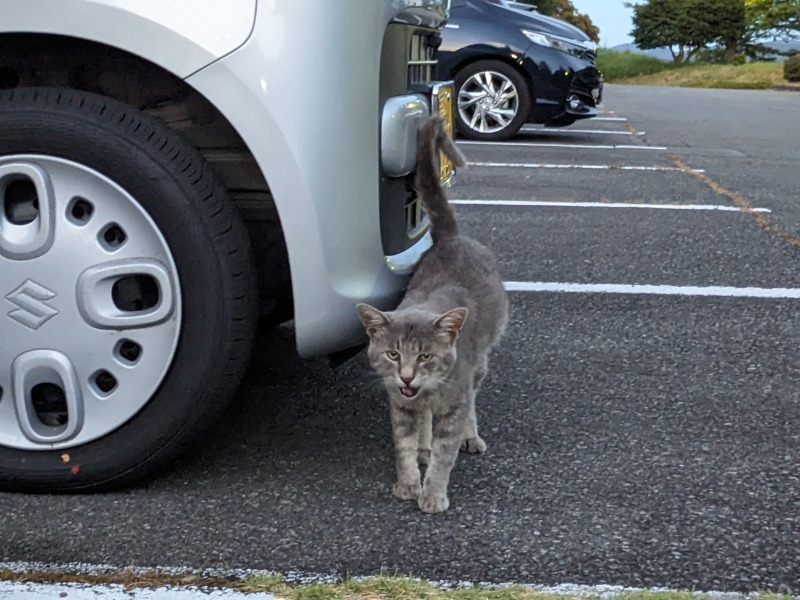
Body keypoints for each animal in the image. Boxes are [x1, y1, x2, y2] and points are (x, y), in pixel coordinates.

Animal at [356, 117, 506, 516]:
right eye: (393, 354)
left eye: (426, 356)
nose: (407, 376)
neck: (425, 392)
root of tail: (449, 239)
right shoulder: (400, 405)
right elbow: (405, 446)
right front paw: (409, 482)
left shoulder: (454, 404)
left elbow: (444, 454)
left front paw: (434, 493)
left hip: (482, 361)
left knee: (473, 399)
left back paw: (471, 437)